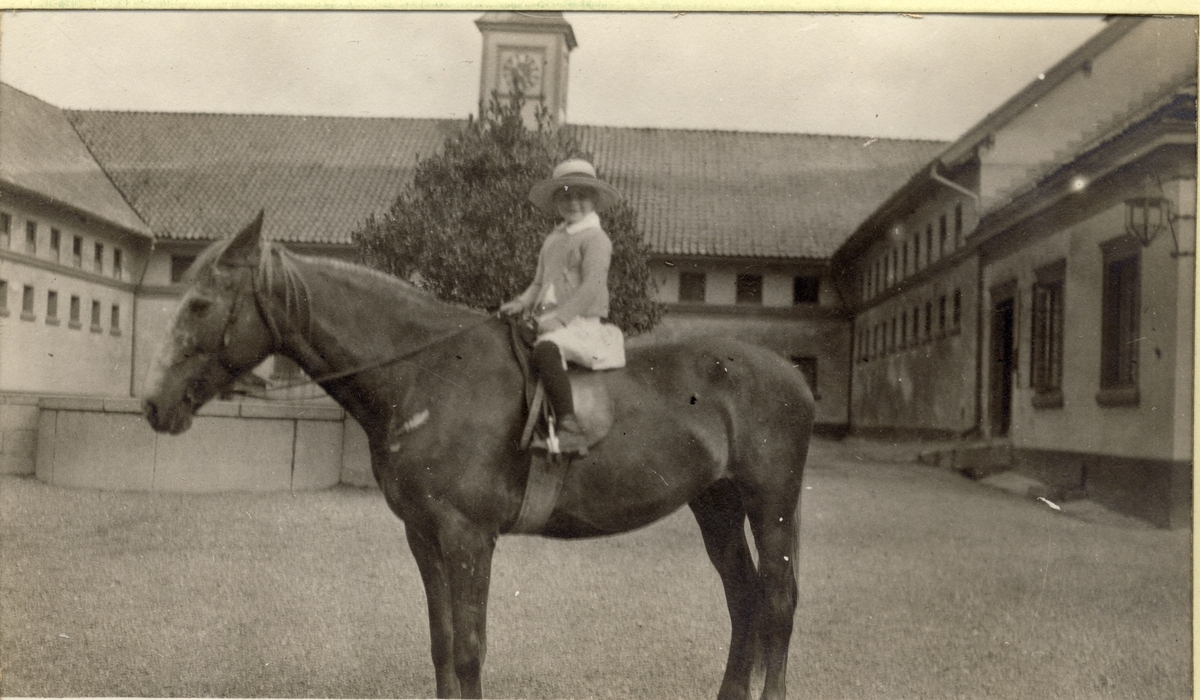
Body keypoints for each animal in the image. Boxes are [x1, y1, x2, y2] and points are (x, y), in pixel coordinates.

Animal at [140, 213, 816, 700]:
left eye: (200, 304)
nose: (153, 404)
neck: (427, 373)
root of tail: (792, 375)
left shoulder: (468, 535)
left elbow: (469, 647)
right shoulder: (423, 533)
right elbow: (442, 642)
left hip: (772, 503)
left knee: (778, 601)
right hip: (716, 503)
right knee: (743, 595)